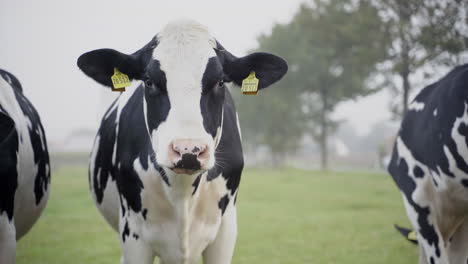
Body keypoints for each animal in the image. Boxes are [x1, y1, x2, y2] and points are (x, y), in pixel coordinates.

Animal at [76, 19, 288, 262]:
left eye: (220, 82)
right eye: (148, 81)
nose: (188, 150)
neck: (183, 192)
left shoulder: (225, 232)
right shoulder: (133, 233)